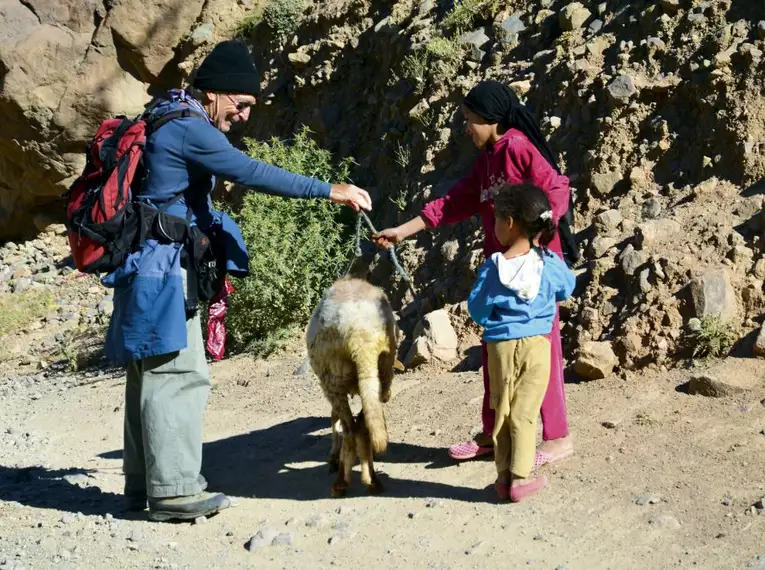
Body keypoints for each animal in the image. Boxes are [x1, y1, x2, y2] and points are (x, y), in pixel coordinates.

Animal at [306, 274, 400, 492]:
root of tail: (360, 335)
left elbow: (336, 421)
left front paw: (333, 458)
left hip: (333, 381)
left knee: (349, 429)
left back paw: (340, 483)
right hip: (381, 371)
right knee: (363, 426)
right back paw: (372, 480)